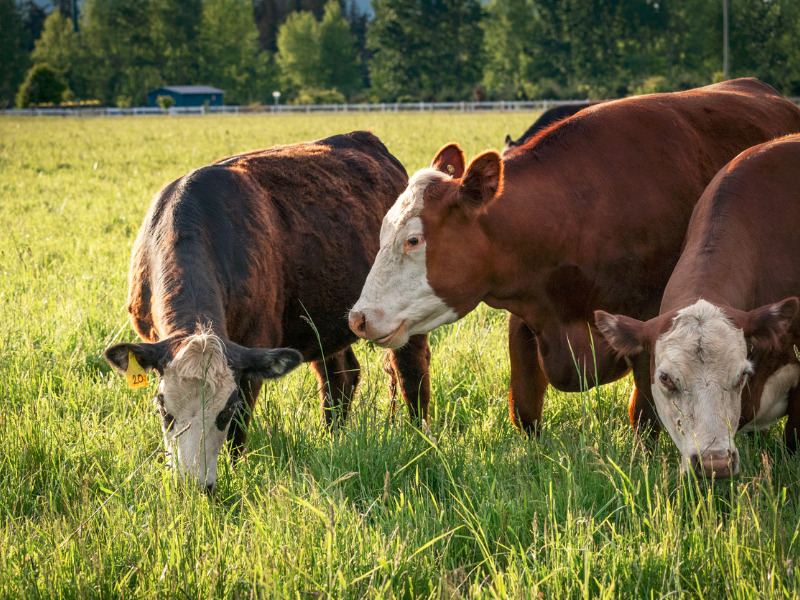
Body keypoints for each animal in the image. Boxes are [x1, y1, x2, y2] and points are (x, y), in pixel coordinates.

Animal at [104, 131, 432, 491]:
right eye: (164, 410)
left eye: (225, 411)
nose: (195, 484)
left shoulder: (252, 355)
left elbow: (238, 434)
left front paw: (235, 472)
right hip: (322, 320)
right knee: (340, 377)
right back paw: (333, 438)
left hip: (407, 312)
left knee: (411, 373)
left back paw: (418, 439)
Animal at [347, 78, 800, 441]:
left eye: (414, 240)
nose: (358, 318)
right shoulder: (527, 320)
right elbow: (524, 411)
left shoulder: (650, 328)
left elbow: (645, 417)